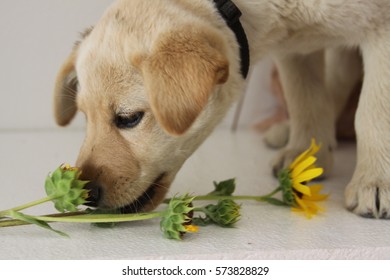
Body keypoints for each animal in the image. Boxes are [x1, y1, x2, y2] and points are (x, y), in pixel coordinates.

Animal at [54, 0, 390, 219]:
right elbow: (306, 99)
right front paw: (308, 154)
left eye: (128, 118)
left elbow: (373, 111)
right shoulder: (296, 50)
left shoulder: (380, 28)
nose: (86, 194)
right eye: (85, 117)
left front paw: (375, 182)